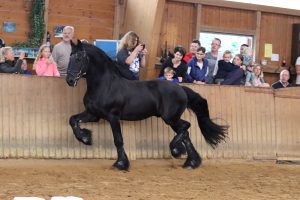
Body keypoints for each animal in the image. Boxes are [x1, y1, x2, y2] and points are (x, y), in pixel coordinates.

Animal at [65, 40, 227, 170]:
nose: (70, 80)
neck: (105, 85)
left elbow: (118, 140)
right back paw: (191, 162)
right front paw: (85, 138)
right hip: (171, 119)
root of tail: (181, 88)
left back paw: (176, 150)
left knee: (186, 126)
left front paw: (121, 164)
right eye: (70, 57)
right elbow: (73, 120)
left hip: (170, 118)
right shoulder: (93, 114)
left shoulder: (113, 116)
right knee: (185, 132)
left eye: (79, 58)